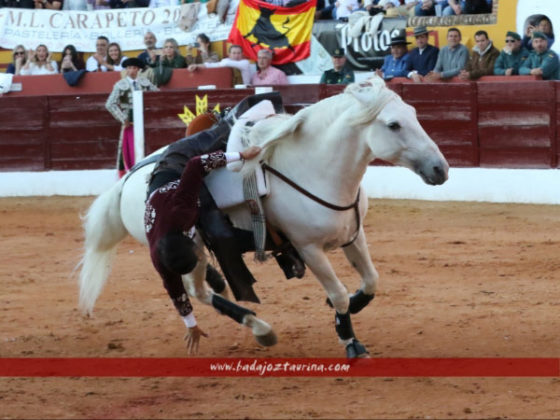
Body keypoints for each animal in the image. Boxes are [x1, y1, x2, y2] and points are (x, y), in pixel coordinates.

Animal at [79, 76, 448, 358]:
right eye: (393, 125)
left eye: (414, 114)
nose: (440, 169)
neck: (314, 167)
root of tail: (127, 182)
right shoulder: (309, 248)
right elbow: (339, 292)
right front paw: (350, 341)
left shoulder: (353, 235)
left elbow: (371, 280)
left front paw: (354, 307)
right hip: (186, 246)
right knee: (195, 291)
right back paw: (260, 327)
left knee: (201, 290)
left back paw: (250, 316)